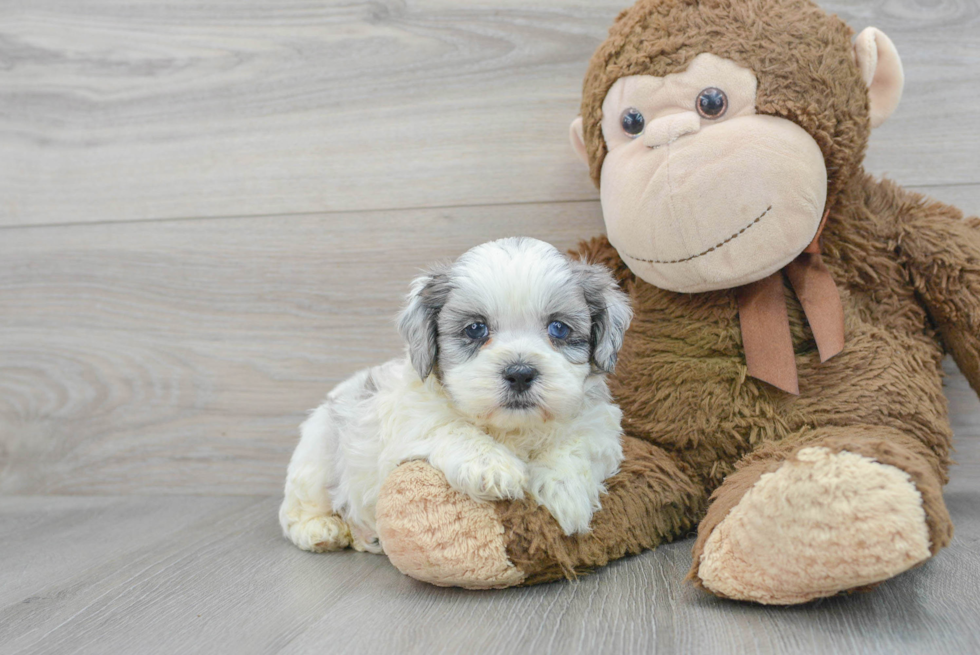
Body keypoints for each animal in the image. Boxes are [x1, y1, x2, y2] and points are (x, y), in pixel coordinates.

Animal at [280, 236, 632, 552]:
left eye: (558, 328)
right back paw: (321, 529)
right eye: (475, 329)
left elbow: (577, 444)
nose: (520, 373)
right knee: (296, 510)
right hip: (318, 454)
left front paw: (565, 491)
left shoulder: (600, 425)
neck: (512, 430)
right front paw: (491, 465)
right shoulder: (414, 419)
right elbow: (451, 427)